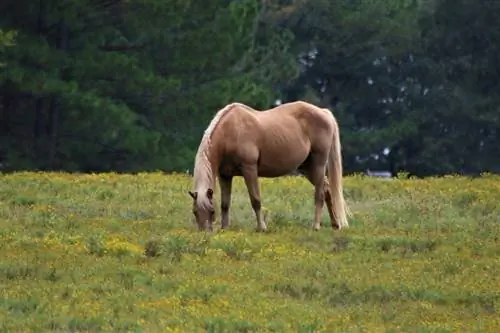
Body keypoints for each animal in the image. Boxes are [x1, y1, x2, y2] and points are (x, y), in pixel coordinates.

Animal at [189, 100, 350, 232]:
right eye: (195, 212)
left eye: (211, 211)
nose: (205, 232)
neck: (230, 132)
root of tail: (324, 112)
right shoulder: (225, 175)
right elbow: (225, 204)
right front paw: (224, 228)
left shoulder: (249, 169)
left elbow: (255, 200)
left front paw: (262, 228)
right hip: (307, 168)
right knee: (327, 189)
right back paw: (335, 224)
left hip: (318, 165)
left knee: (320, 194)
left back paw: (316, 226)